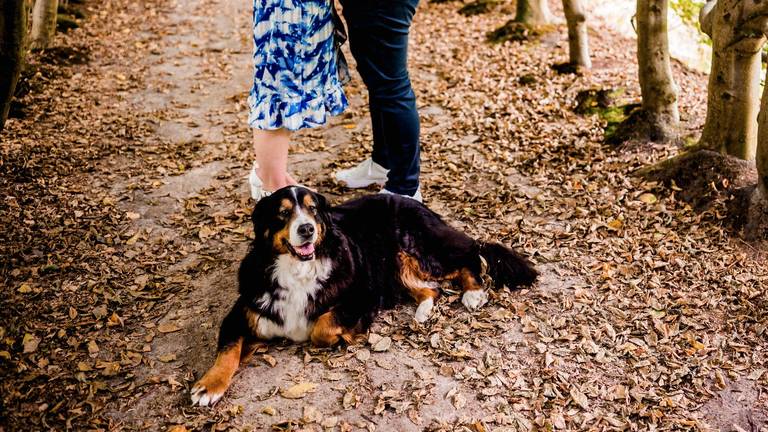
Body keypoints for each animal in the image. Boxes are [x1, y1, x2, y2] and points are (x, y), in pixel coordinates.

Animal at [190, 187, 536, 406]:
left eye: (312, 209)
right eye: (282, 214)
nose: (306, 229)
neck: (296, 270)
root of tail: (413, 202)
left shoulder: (362, 296)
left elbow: (321, 328)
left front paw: (344, 338)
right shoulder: (241, 313)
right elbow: (227, 351)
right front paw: (210, 384)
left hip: (421, 248)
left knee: (469, 255)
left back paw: (474, 293)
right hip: (396, 266)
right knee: (432, 289)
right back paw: (422, 312)